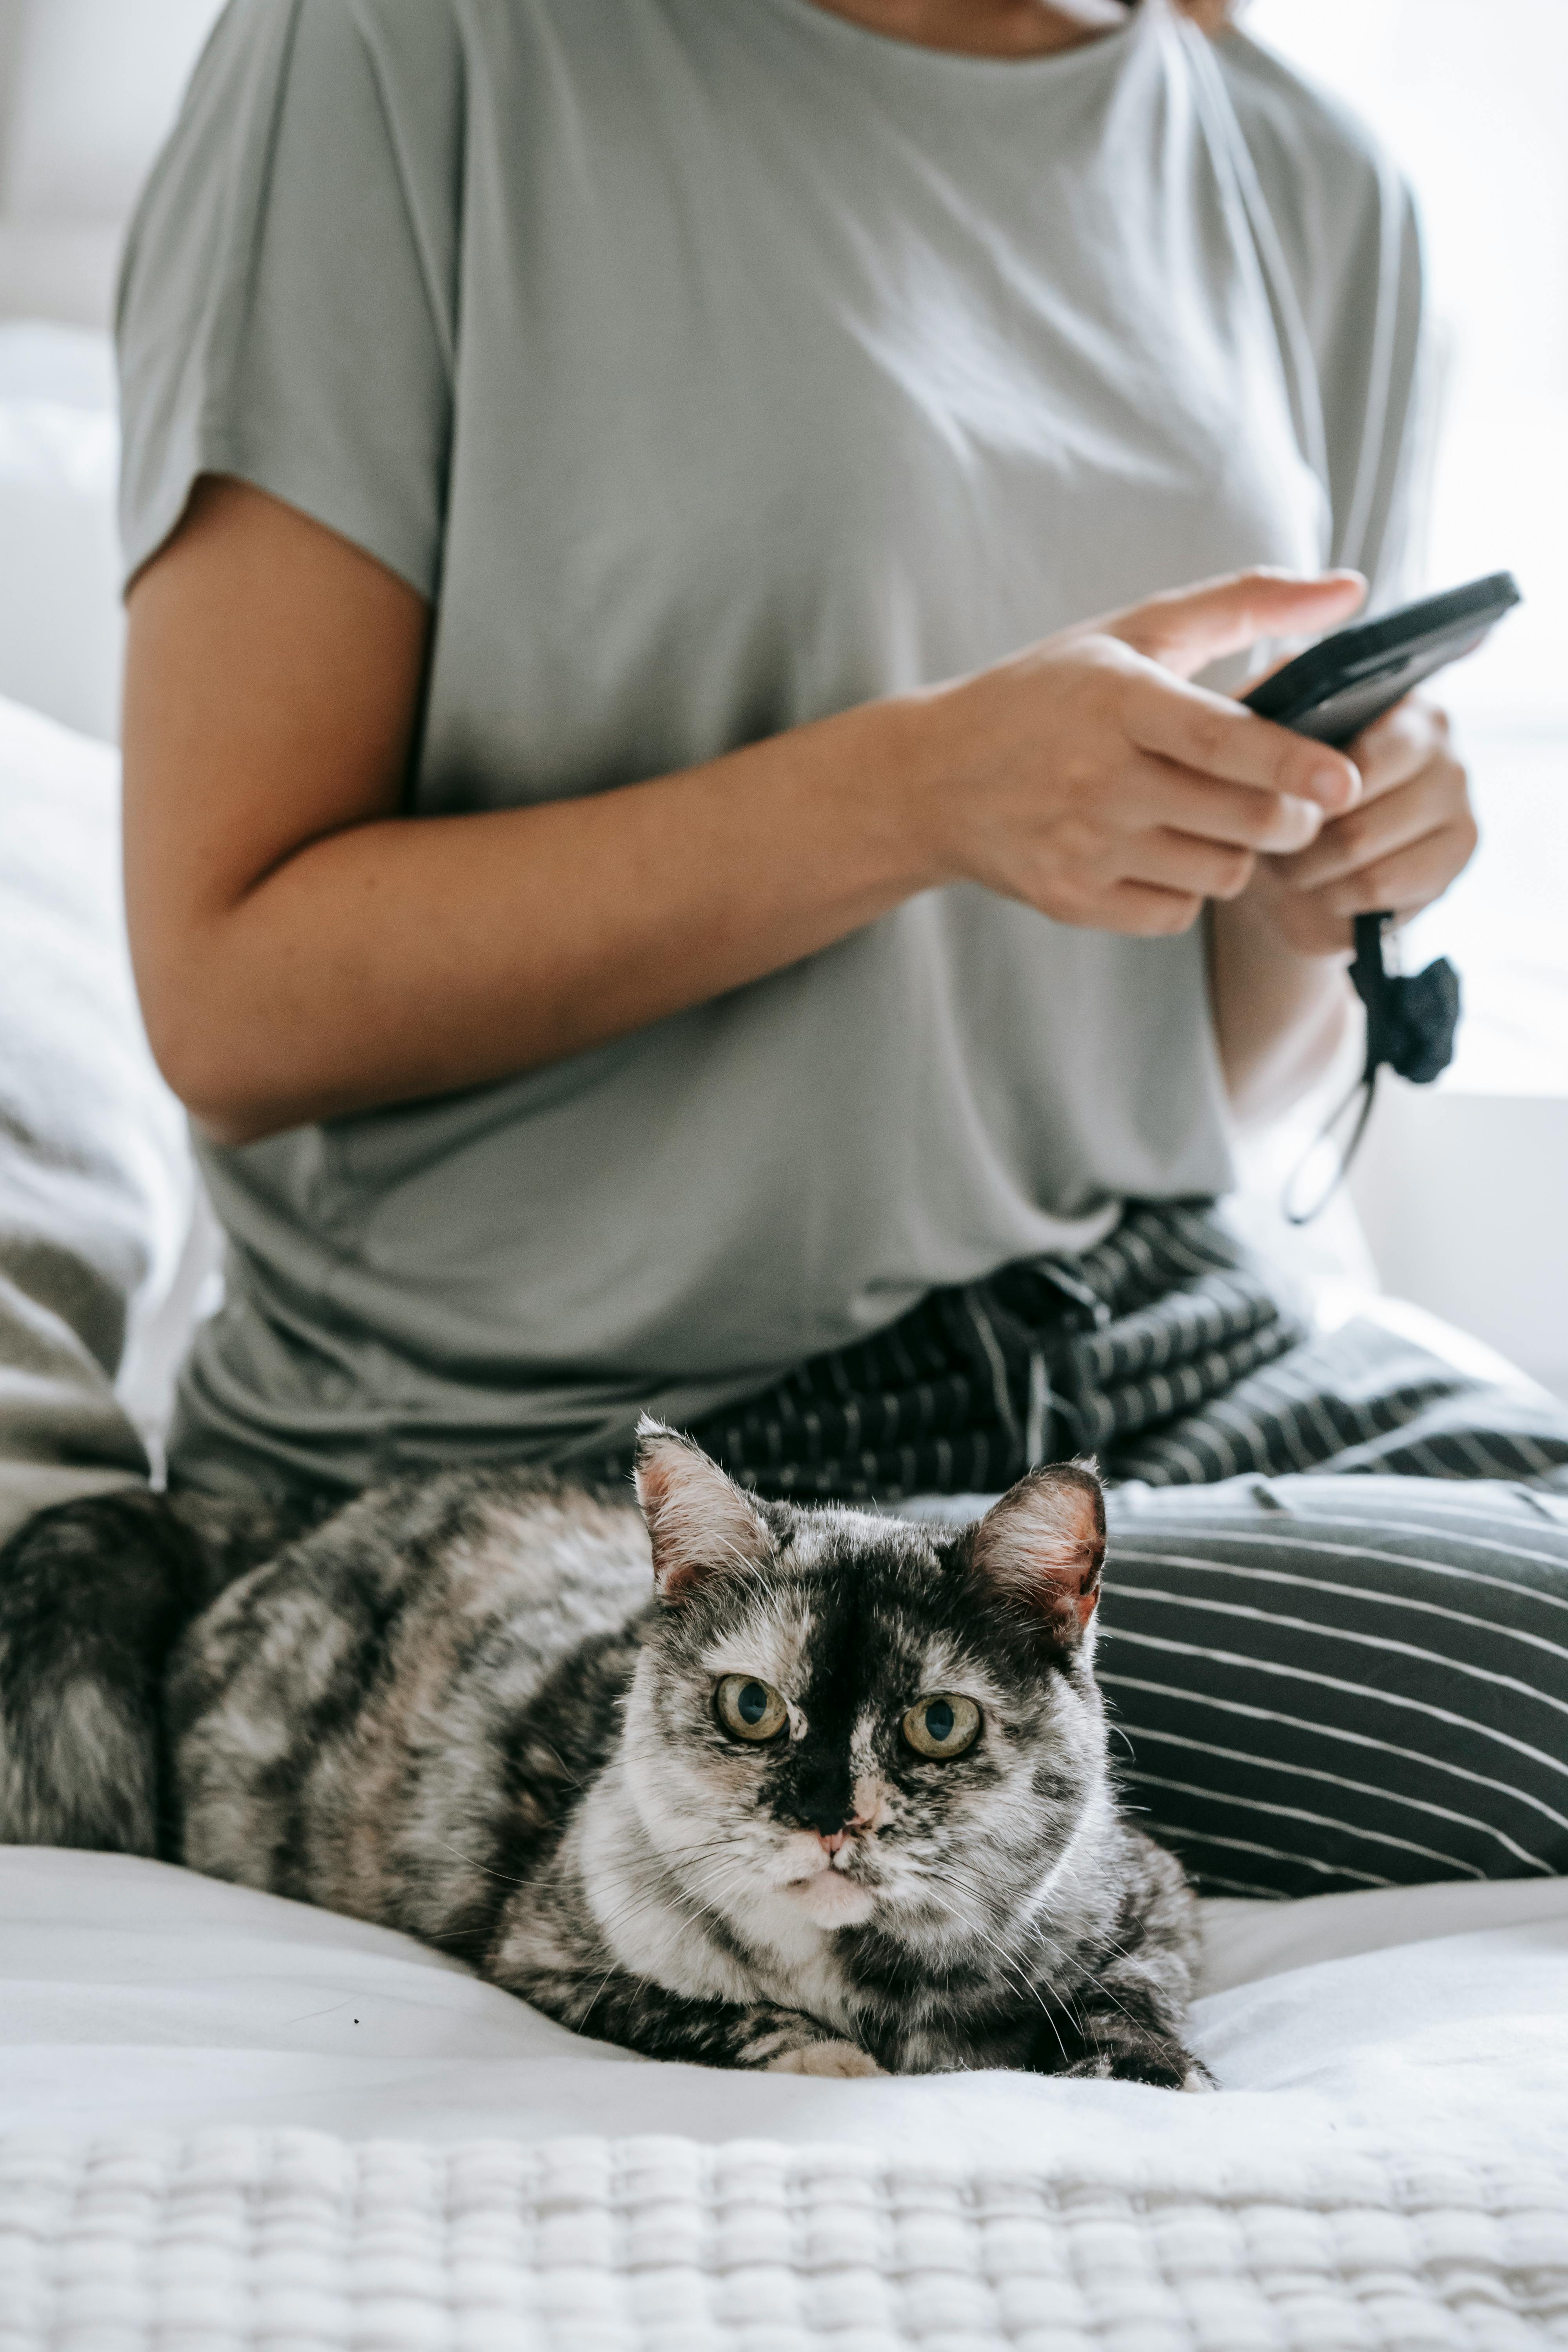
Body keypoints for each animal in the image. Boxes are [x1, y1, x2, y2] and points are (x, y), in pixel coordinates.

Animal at [0, 1421, 1213, 2089]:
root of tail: (282, 1521)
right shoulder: (549, 1949)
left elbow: (1133, 1993)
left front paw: (1147, 2076)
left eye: (939, 1724)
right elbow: (711, 2014)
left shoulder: (1155, 1897)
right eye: (751, 1706)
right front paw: (831, 2057)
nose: (828, 1815)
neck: (867, 1984)